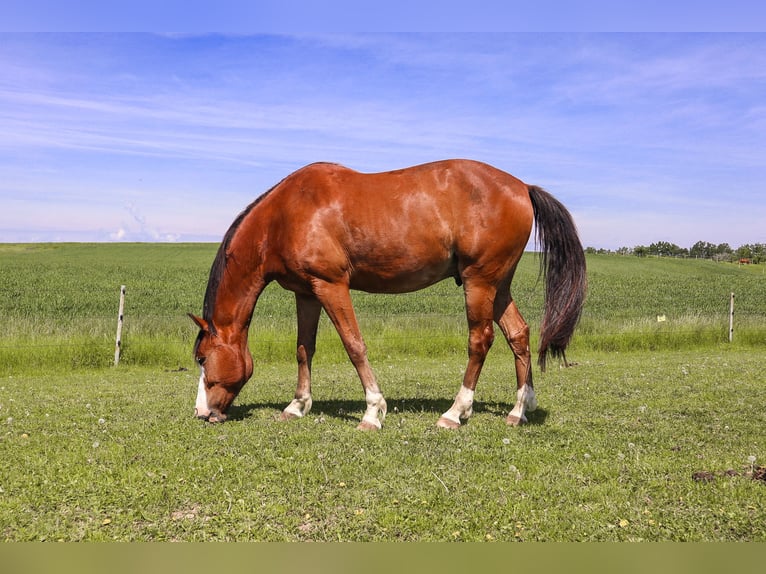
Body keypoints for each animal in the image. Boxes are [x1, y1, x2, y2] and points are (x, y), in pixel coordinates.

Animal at [190, 160, 588, 430]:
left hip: (480, 282)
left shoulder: (331, 285)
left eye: (201, 358)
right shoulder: (307, 293)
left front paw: (372, 411)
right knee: (518, 334)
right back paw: (520, 409)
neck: (285, 215)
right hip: (498, 285)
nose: (202, 412)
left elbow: (354, 345)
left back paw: (455, 412)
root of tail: (522, 186)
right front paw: (297, 405)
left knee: (481, 341)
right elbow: (305, 349)